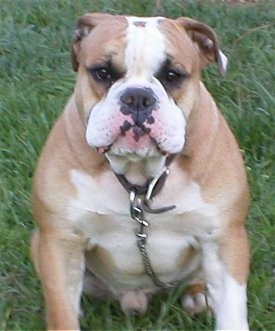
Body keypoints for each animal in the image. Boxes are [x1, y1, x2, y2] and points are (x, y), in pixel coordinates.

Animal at [31, 12, 251, 330]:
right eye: (102, 72)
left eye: (172, 75)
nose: (137, 97)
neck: (139, 175)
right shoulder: (61, 241)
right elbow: (62, 311)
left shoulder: (223, 239)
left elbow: (232, 312)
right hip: (39, 242)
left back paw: (198, 295)